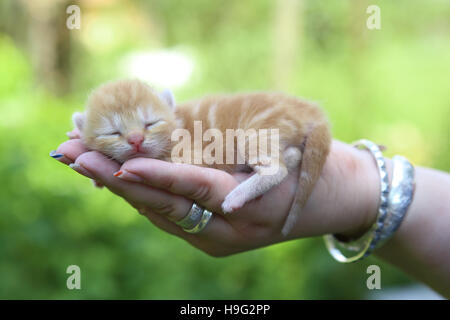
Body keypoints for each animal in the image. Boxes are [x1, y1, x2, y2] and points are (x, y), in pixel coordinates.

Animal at [71, 79, 330, 235]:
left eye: (150, 123)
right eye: (112, 132)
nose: (135, 140)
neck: (177, 125)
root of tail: (310, 109)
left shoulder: (194, 155)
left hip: (258, 129)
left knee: (276, 169)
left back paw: (237, 195)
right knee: (293, 154)